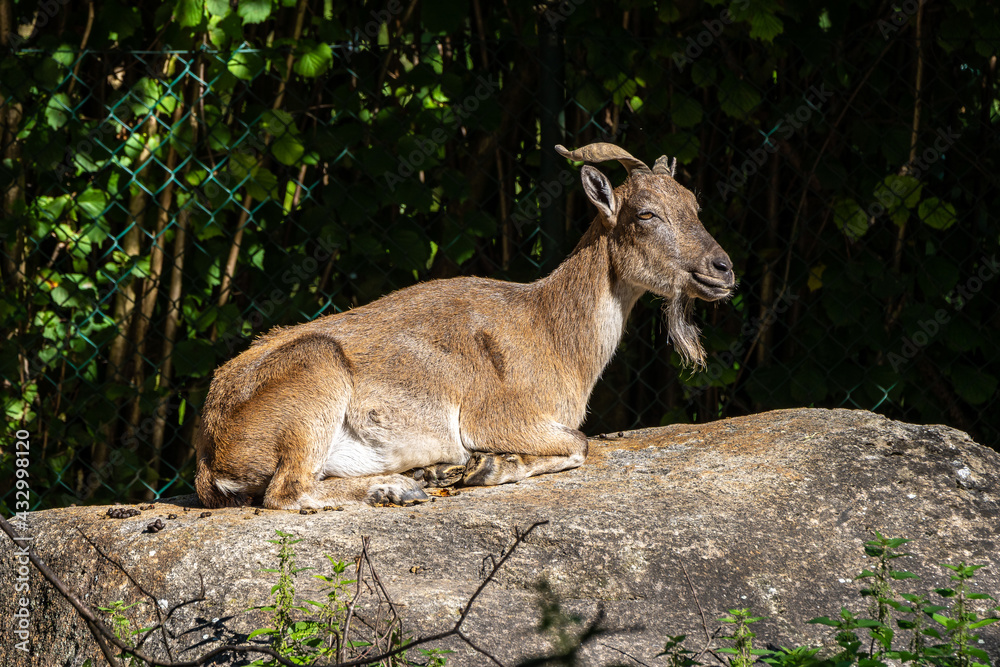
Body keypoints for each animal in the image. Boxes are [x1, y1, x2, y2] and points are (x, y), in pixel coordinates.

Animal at [194, 143, 736, 509]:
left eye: (694, 205)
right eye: (646, 213)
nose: (722, 269)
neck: (550, 331)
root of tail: (209, 447)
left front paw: (471, 467)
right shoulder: (498, 416)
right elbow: (579, 444)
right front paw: (488, 466)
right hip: (317, 374)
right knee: (289, 492)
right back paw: (400, 488)